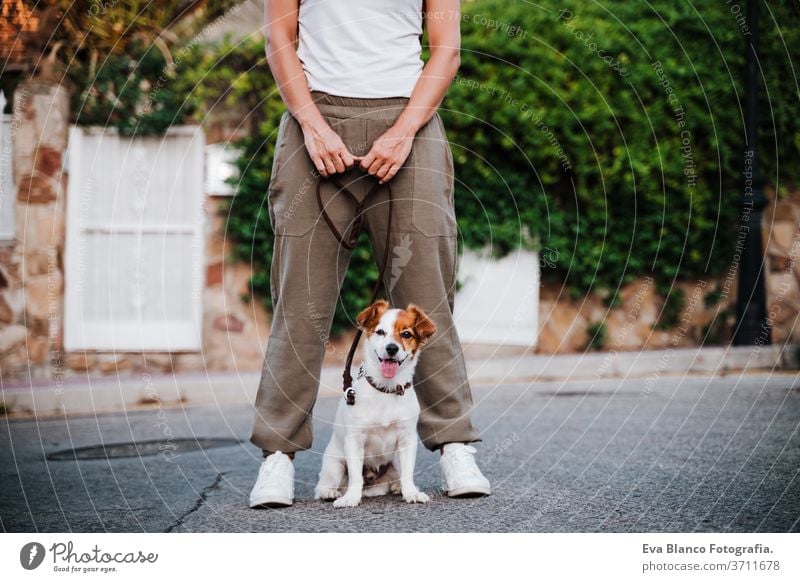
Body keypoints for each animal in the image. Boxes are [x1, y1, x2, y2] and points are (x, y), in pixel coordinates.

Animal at [314, 298, 438, 508]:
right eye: (380, 332)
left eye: (406, 334)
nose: (391, 348)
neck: (386, 389)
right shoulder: (355, 440)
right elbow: (356, 476)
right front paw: (351, 498)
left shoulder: (407, 439)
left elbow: (408, 473)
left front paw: (410, 492)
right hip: (335, 464)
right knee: (326, 484)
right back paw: (330, 492)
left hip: (394, 460)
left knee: (396, 477)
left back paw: (397, 487)